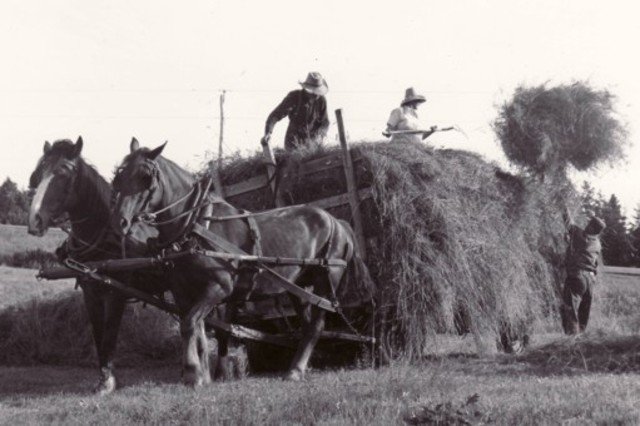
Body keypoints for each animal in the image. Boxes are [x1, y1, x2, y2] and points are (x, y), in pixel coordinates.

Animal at [27, 138, 170, 394]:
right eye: (38, 174)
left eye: (63, 174)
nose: (34, 220)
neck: (104, 235)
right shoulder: (90, 293)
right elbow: (98, 333)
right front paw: (103, 376)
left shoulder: (115, 294)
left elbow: (110, 334)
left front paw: (108, 381)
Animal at [109, 138, 370, 384]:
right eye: (118, 177)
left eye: (145, 178)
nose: (119, 222)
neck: (196, 224)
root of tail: (337, 221)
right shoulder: (182, 291)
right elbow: (196, 328)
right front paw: (203, 374)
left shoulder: (219, 288)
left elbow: (190, 324)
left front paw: (193, 373)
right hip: (297, 286)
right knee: (306, 326)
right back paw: (300, 366)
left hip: (327, 280)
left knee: (316, 326)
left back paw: (295, 371)